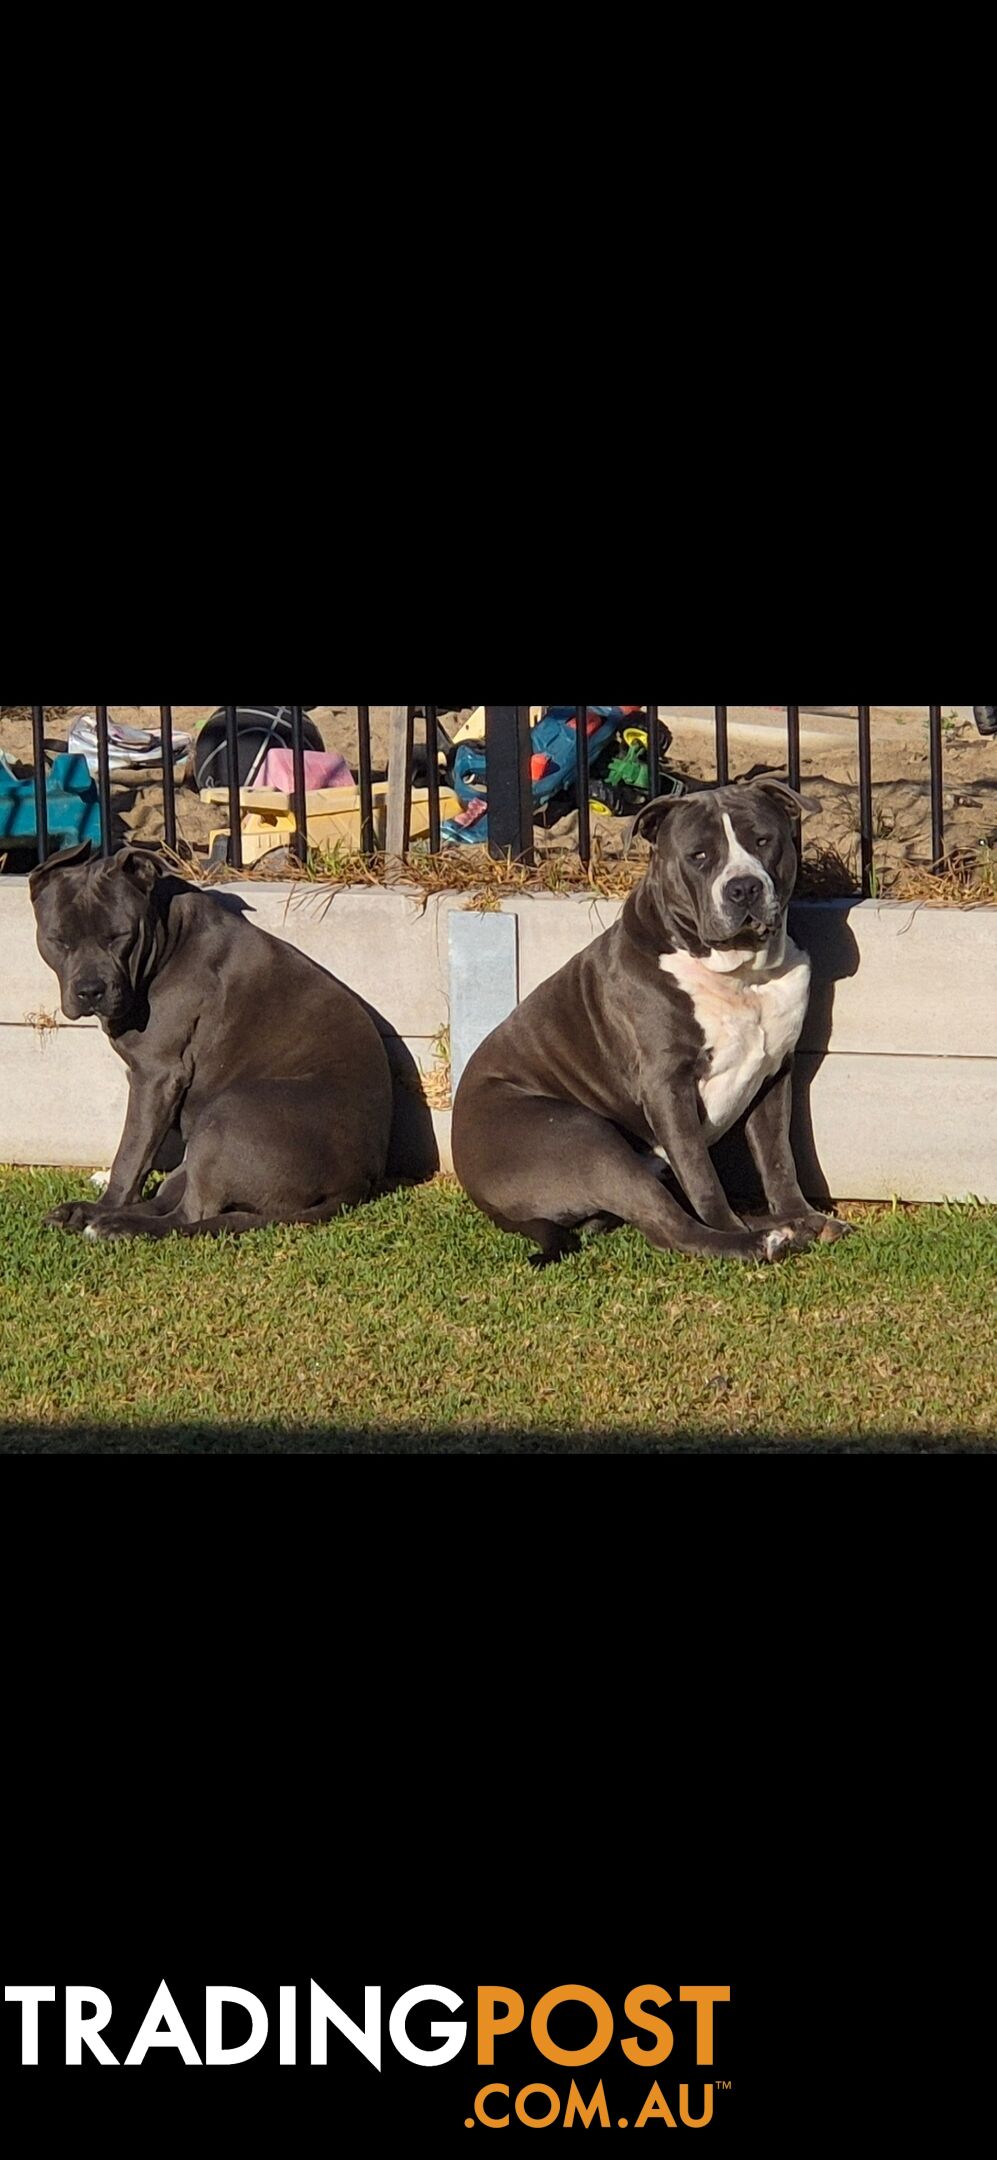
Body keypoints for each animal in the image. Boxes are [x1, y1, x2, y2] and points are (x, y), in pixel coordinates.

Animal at [451, 781, 850, 1261]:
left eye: (762, 840)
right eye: (699, 855)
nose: (744, 887)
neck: (741, 974)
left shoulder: (775, 1074)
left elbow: (778, 1160)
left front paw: (803, 1215)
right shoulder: (667, 1086)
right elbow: (701, 1174)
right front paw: (737, 1227)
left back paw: (789, 1227)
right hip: (586, 1139)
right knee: (669, 1224)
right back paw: (753, 1241)